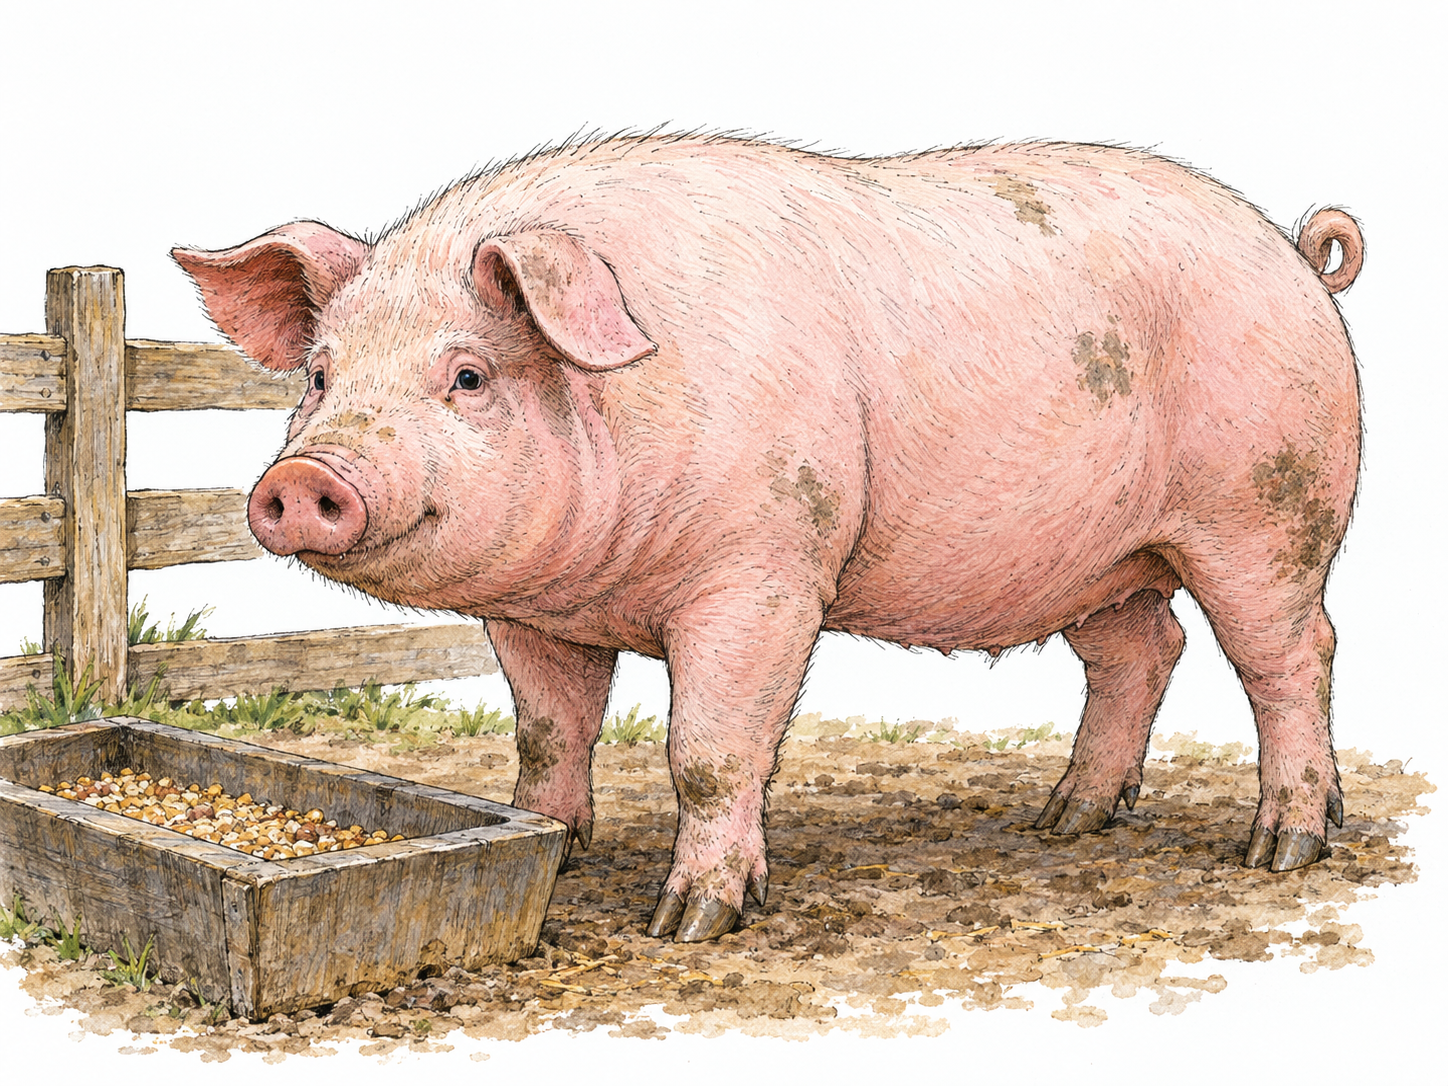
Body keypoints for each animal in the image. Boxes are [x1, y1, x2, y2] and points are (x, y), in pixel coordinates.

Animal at [173, 135, 1364, 942]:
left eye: (467, 375)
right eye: (319, 375)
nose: (302, 478)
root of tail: (1295, 254)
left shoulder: (764, 573)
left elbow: (707, 751)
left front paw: (691, 922)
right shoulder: (532, 613)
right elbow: (548, 738)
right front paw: (548, 852)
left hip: (1267, 508)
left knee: (1290, 657)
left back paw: (1282, 849)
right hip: (1100, 561)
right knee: (1142, 651)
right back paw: (1063, 822)